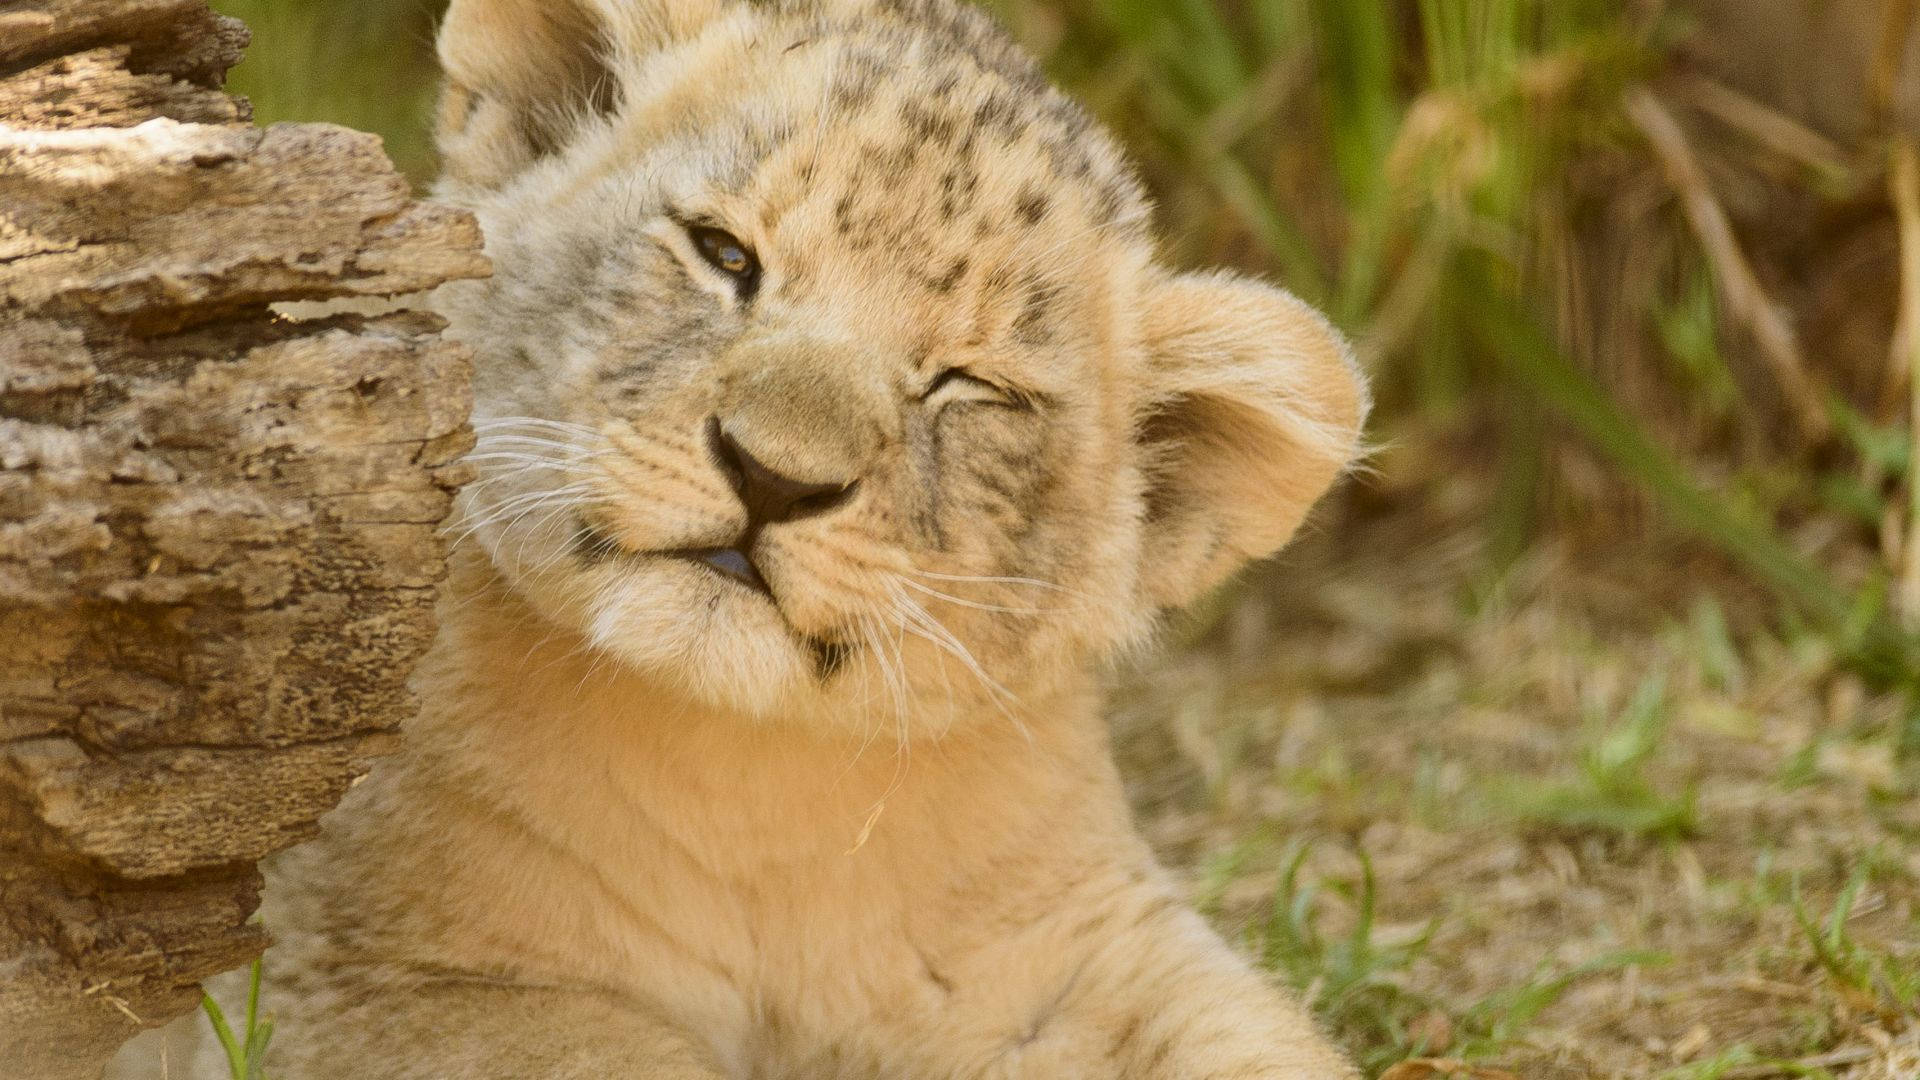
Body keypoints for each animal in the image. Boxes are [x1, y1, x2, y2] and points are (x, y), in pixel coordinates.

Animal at [123, 0, 1369, 1076]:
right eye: (725, 255)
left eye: (971, 387)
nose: (774, 476)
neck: (751, 800)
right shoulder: (362, 977)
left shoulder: (1079, 949)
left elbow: (1264, 1042)